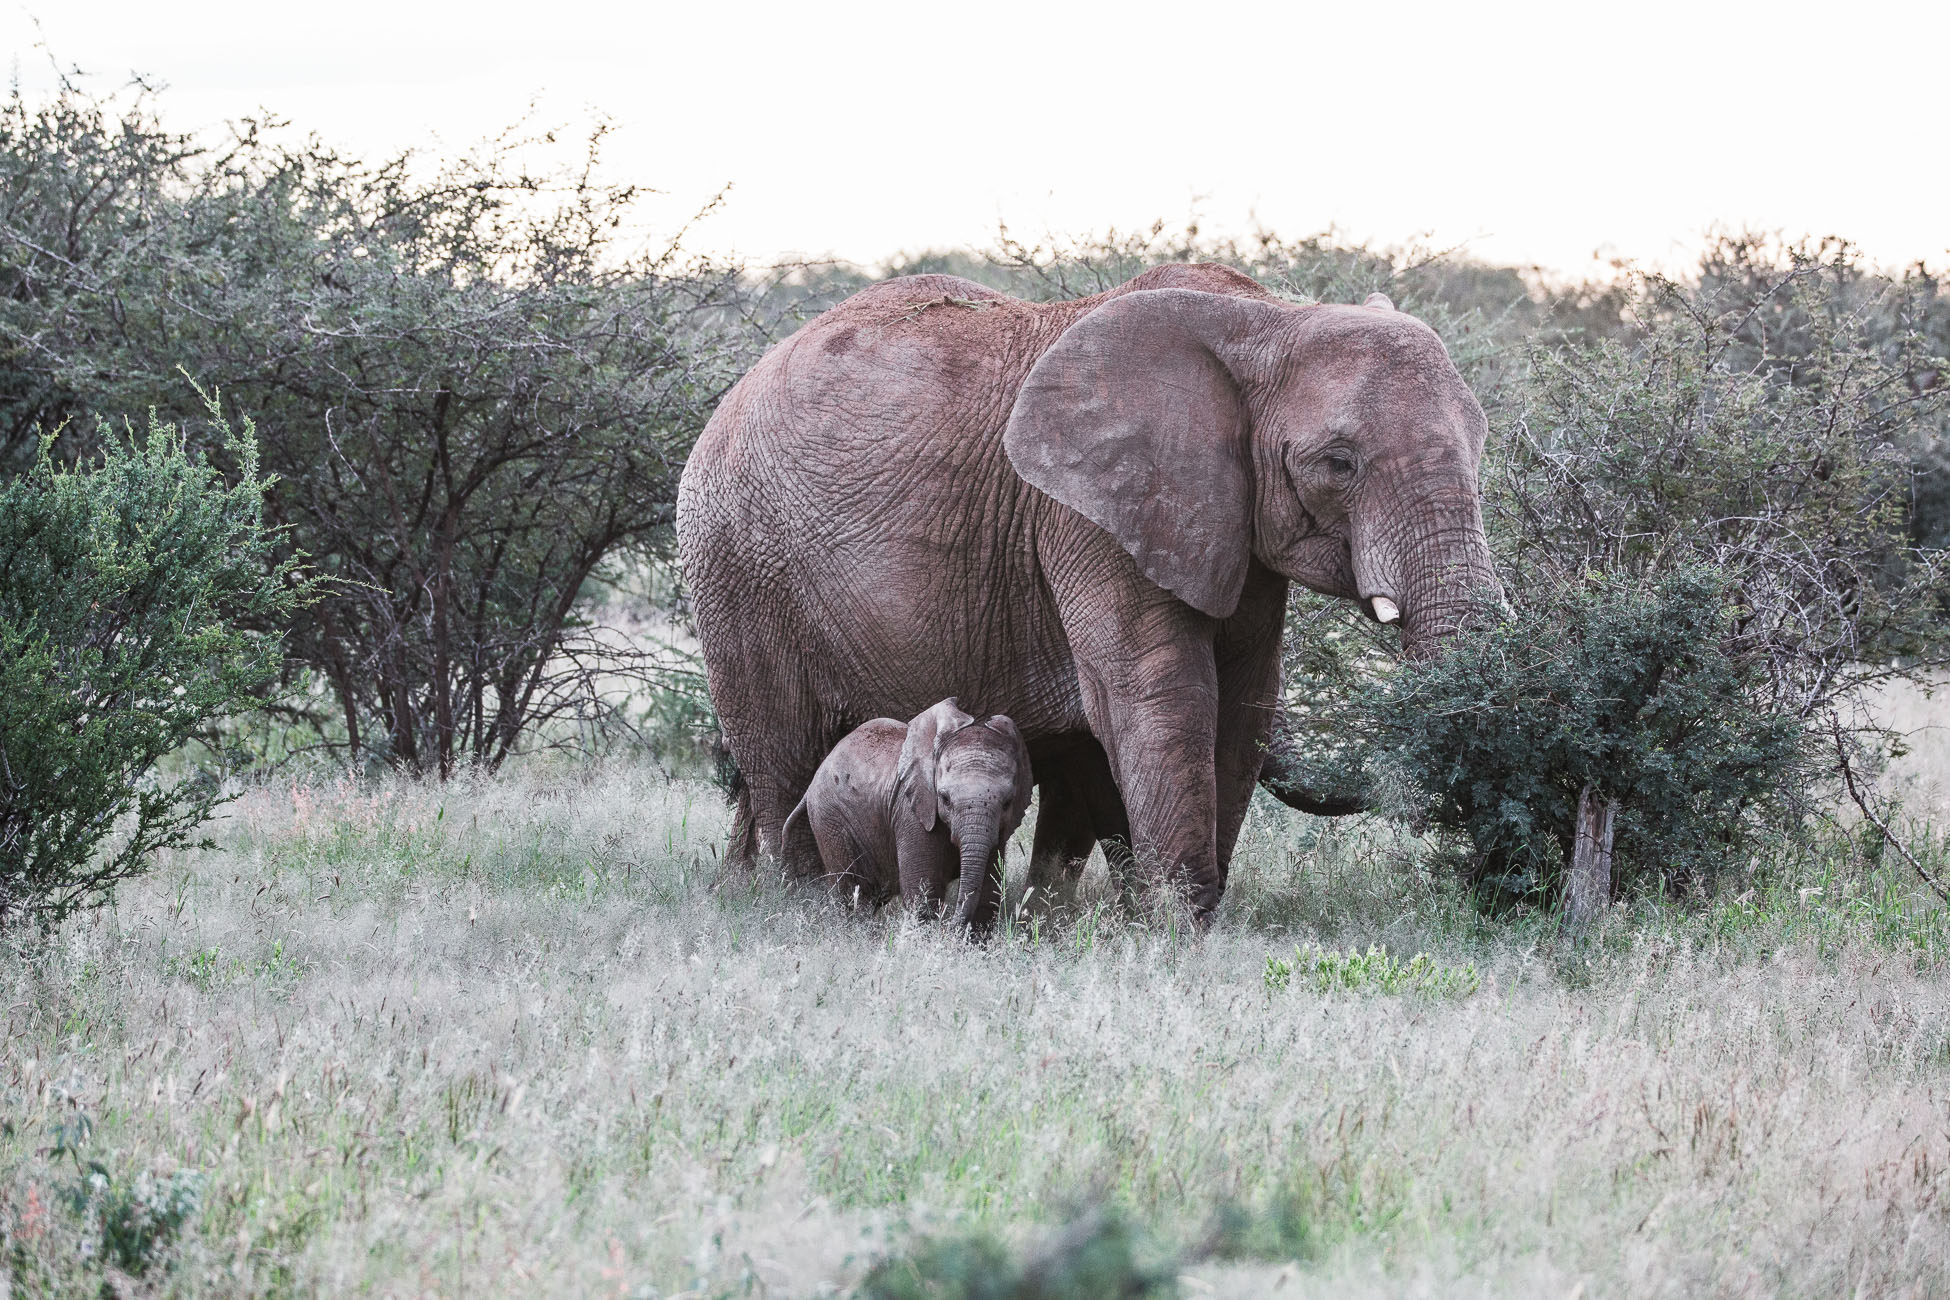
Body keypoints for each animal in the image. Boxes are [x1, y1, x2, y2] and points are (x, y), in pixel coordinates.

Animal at [787, 701, 1045, 935]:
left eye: (1007, 803)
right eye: (945, 799)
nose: (950, 928)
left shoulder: (997, 831)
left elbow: (989, 892)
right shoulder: (912, 813)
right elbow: (924, 891)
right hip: (830, 820)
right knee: (851, 891)